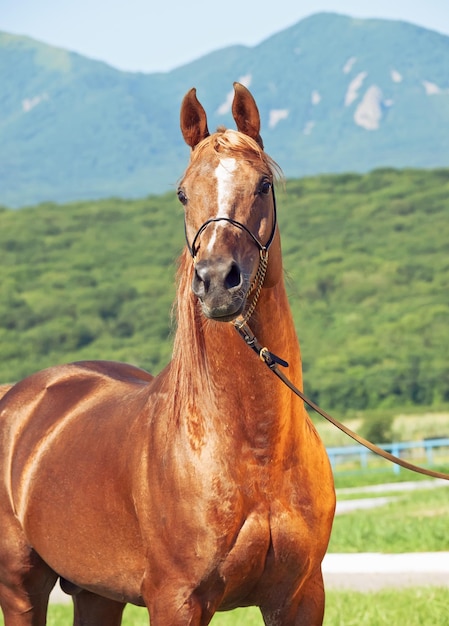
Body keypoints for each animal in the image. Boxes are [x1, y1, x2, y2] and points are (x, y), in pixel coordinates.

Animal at [0, 84, 334, 624]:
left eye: (263, 184)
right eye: (182, 192)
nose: (217, 280)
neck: (251, 451)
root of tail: (18, 397)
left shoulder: (301, 596)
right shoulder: (176, 600)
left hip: (97, 593)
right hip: (21, 587)